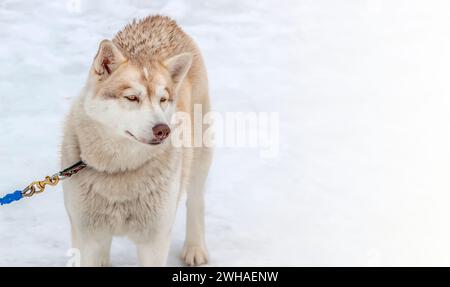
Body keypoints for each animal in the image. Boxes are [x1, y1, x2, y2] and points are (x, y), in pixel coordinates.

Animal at [60, 15, 212, 268]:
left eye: (163, 99)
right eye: (132, 97)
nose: (163, 130)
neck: (119, 171)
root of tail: (161, 18)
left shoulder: (155, 240)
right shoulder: (88, 234)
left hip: (200, 158)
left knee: (196, 200)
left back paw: (195, 248)